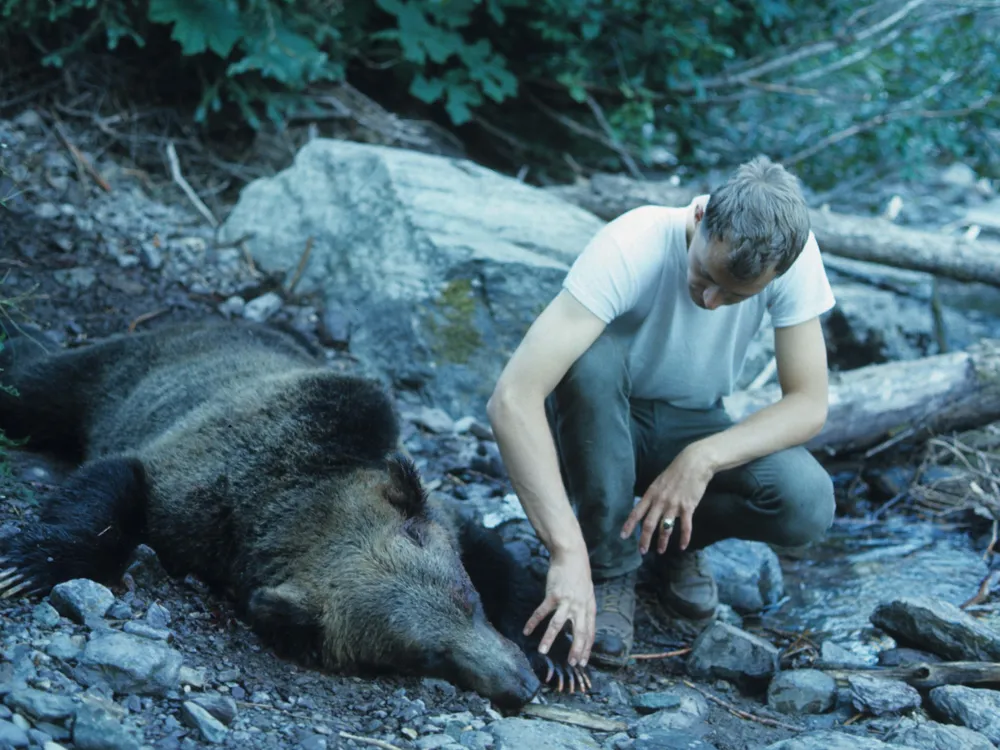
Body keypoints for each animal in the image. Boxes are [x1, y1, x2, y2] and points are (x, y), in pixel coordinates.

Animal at [0, 320, 584, 708]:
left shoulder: (422, 495)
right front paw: (27, 564)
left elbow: (494, 555)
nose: (520, 686)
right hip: (113, 372)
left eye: (468, 600)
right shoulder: (191, 491)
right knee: (35, 387)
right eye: (426, 655)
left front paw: (553, 652)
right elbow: (115, 488)